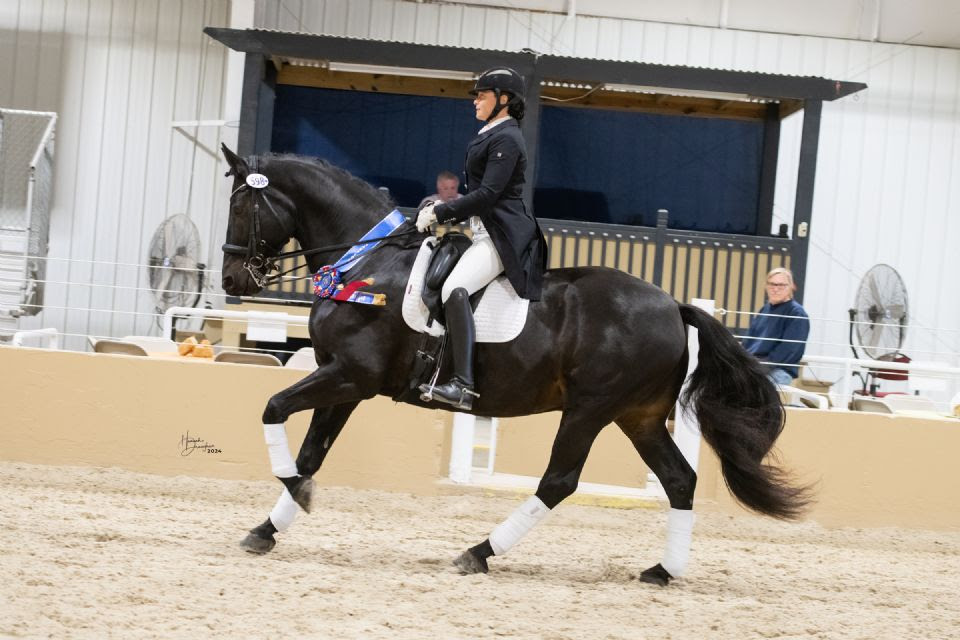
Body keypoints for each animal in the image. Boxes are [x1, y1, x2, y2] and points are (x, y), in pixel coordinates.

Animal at [219, 145, 808, 584]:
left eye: (241, 208)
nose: (231, 280)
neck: (365, 262)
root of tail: (673, 305)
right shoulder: (345, 382)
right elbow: (311, 453)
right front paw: (270, 525)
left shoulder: (349, 375)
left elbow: (273, 409)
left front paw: (294, 495)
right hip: (636, 416)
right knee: (679, 480)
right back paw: (663, 570)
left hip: (590, 410)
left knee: (559, 482)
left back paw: (478, 552)